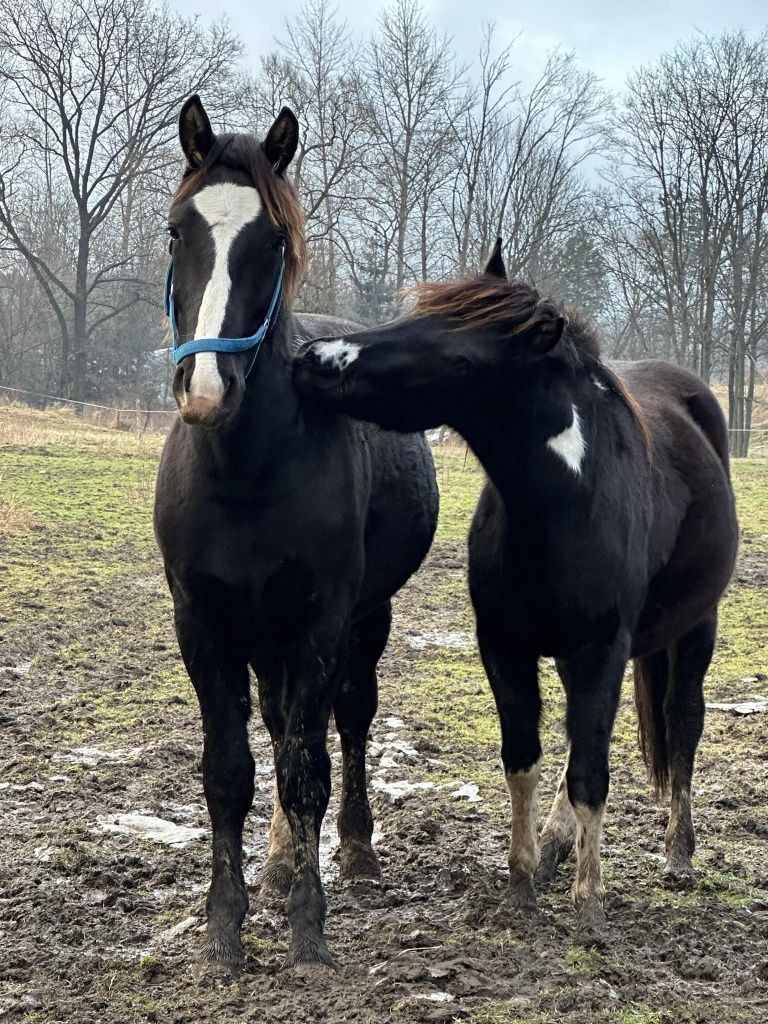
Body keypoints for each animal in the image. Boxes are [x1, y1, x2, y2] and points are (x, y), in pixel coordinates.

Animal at [154, 97, 438, 966]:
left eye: (272, 241)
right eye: (177, 231)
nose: (206, 388)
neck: (246, 467)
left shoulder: (320, 620)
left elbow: (307, 765)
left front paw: (308, 927)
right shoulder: (203, 622)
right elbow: (230, 771)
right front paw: (225, 928)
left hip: (363, 618)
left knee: (347, 720)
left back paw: (353, 852)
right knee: (279, 727)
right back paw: (279, 863)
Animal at [294, 241, 741, 942]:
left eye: (459, 357)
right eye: (414, 320)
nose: (314, 360)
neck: (566, 505)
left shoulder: (600, 649)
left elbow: (591, 774)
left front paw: (589, 906)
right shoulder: (504, 647)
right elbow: (526, 759)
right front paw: (522, 884)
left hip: (696, 629)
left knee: (682, 723)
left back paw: (678, 854)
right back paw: (560, 849)